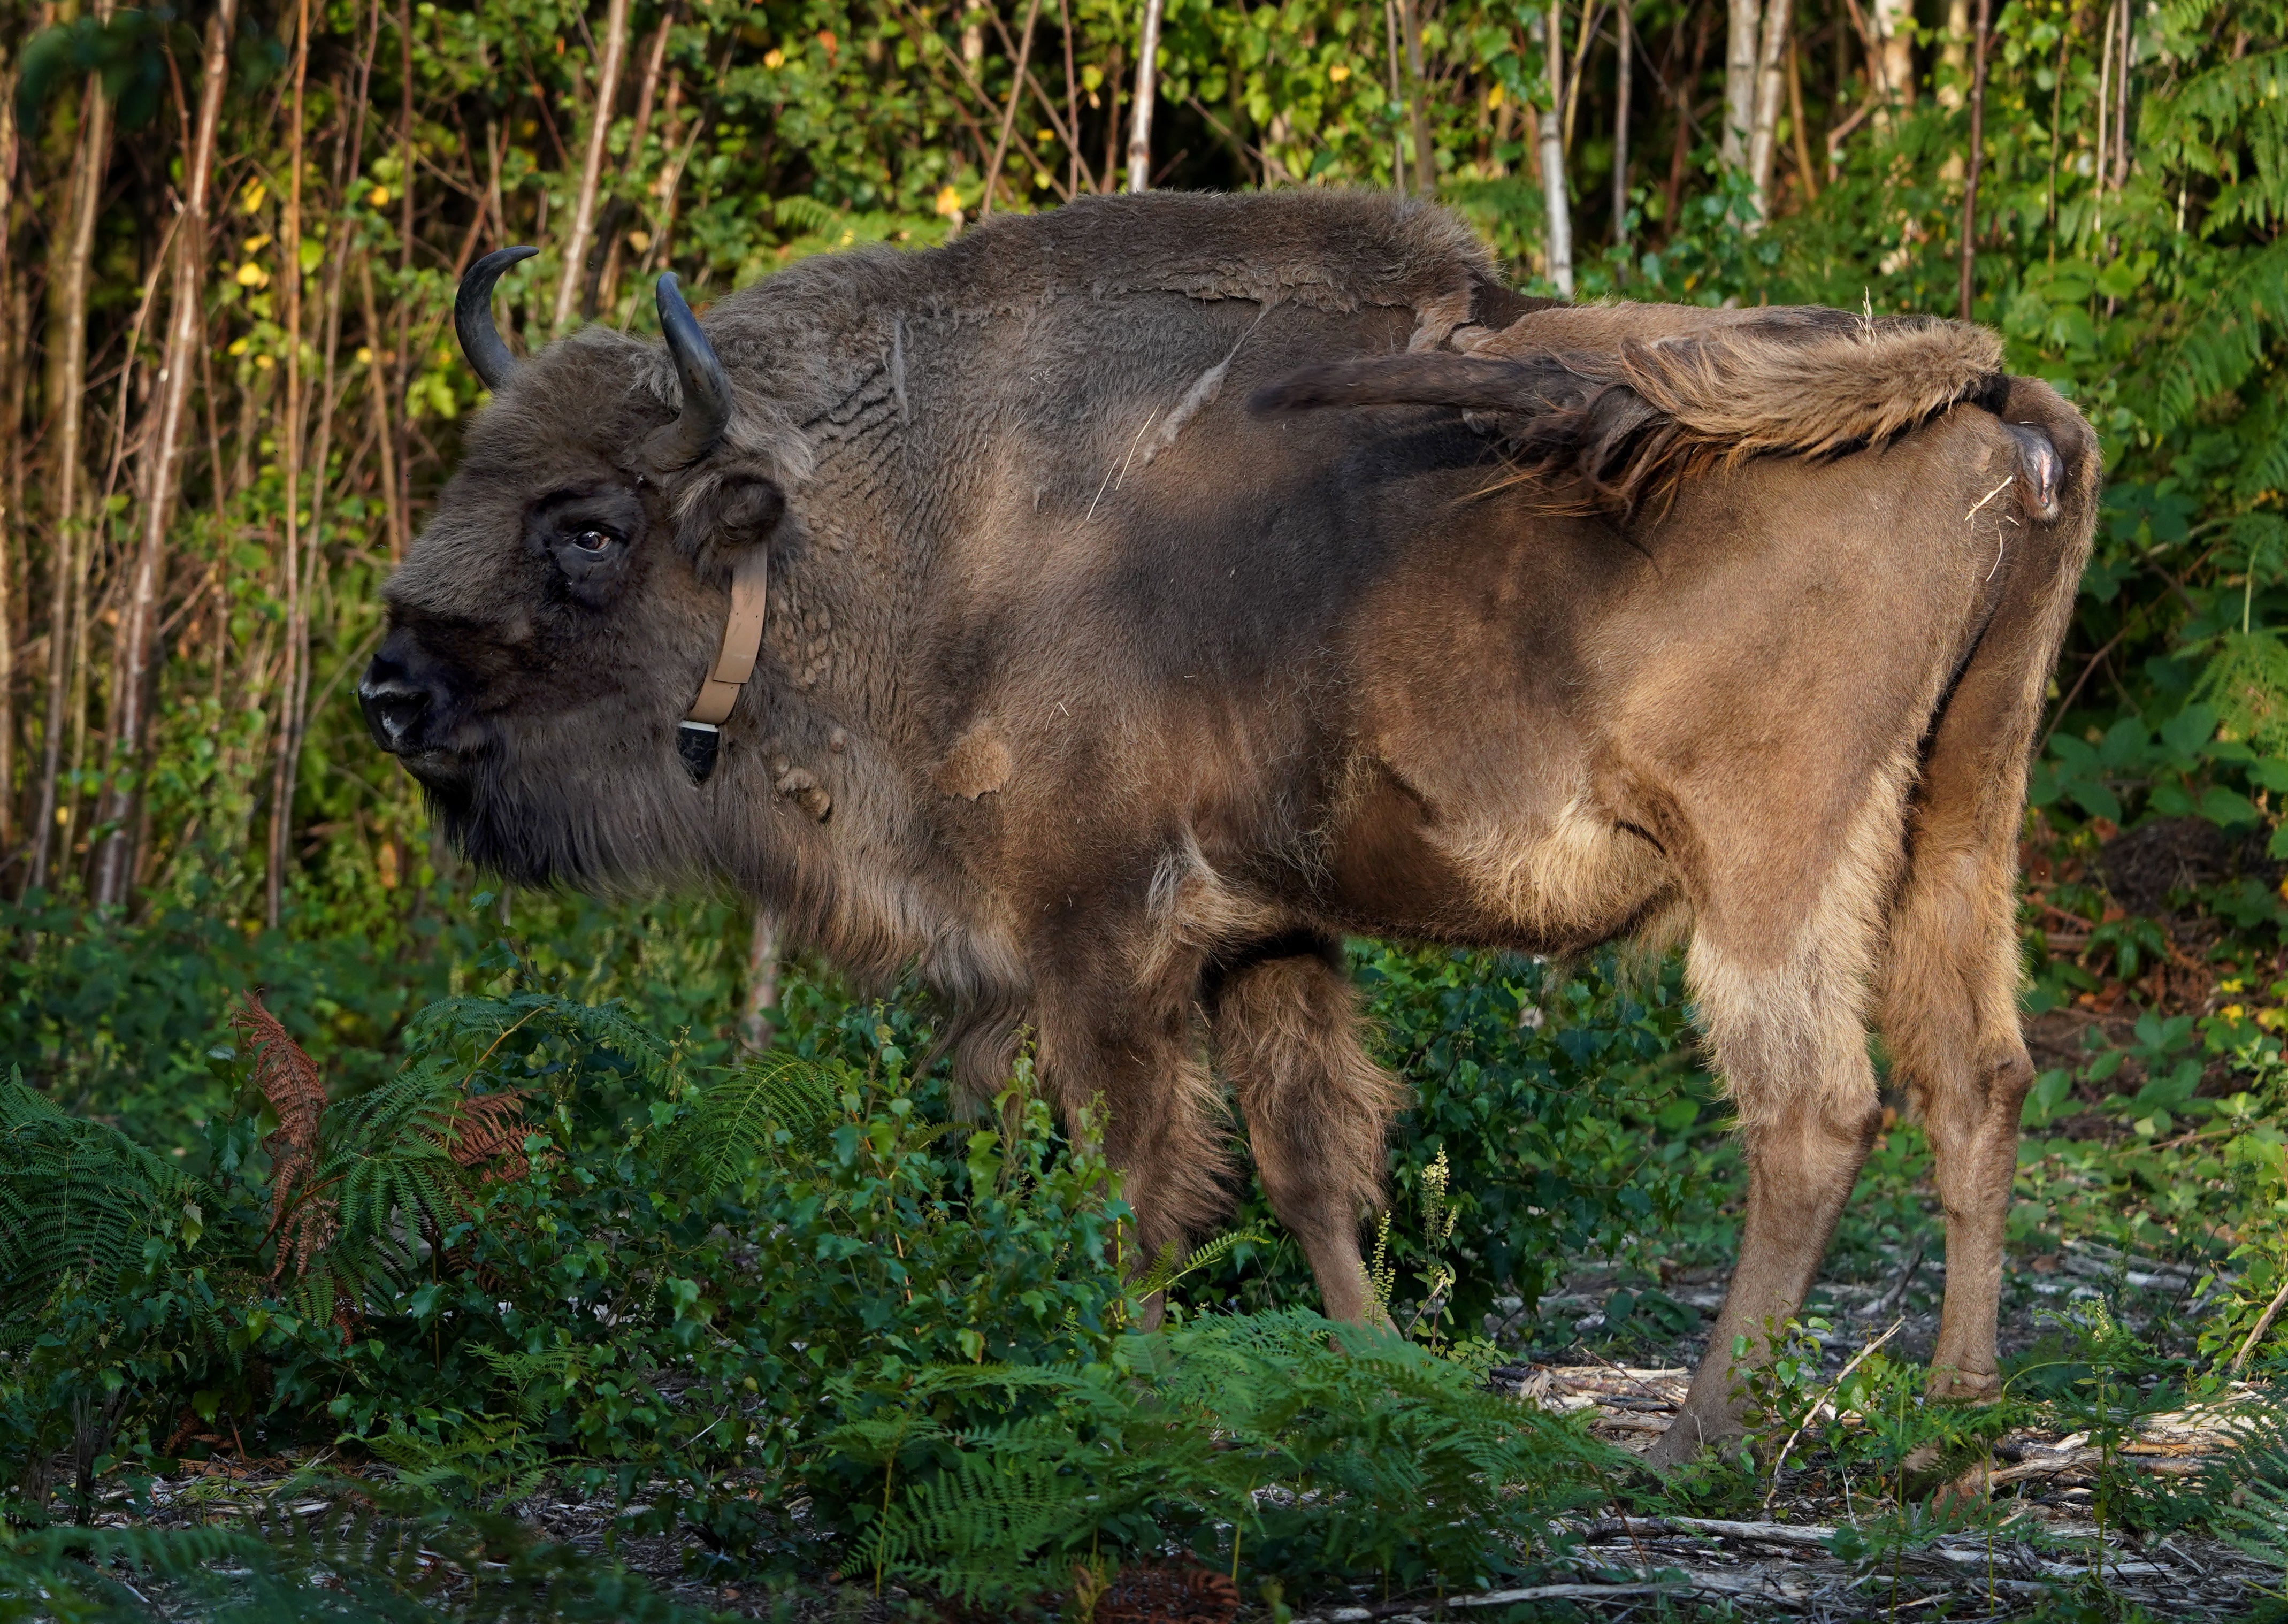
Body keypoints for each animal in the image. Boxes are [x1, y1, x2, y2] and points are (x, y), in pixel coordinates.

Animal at [357, 191, 2095, 1464]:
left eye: (588, 526)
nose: (389, 688)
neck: (918, 517)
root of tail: (1987, 398)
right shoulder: (1262, 929)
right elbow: (1305, 1156)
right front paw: (1376, 1372)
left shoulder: (1097, 938)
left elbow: (1130, 1183)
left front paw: (1125, 1394)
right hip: (1964, 809)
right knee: (1977, 1074)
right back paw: (1955, 1428)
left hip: (1772, 859)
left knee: (1814, 1109)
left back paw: (1695, 1441)